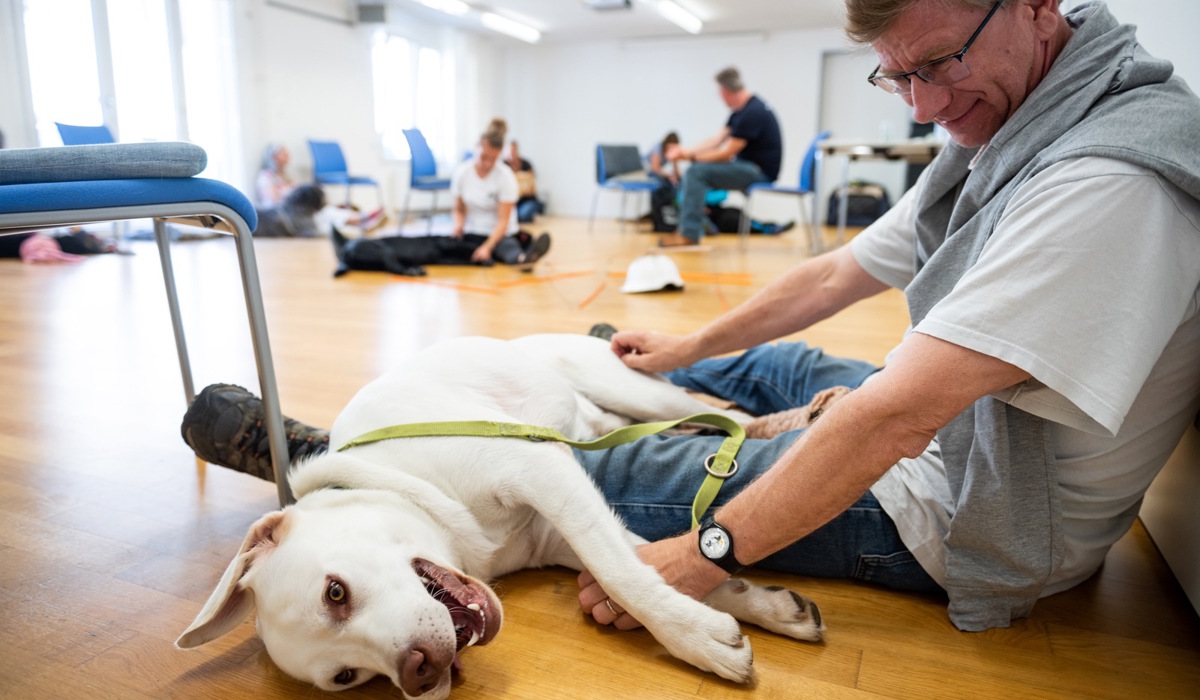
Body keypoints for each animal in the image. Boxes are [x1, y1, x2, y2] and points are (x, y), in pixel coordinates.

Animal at [175, 333, 835, 696]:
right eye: (346, 678)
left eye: (335, 593)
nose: (418, 675)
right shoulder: (562, 526)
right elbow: (651, 565)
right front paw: (763, 609)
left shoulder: (536, 467)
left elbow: (622, 575)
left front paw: (698, 641)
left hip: (637, 391)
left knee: (730, 416)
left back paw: (807, 416)